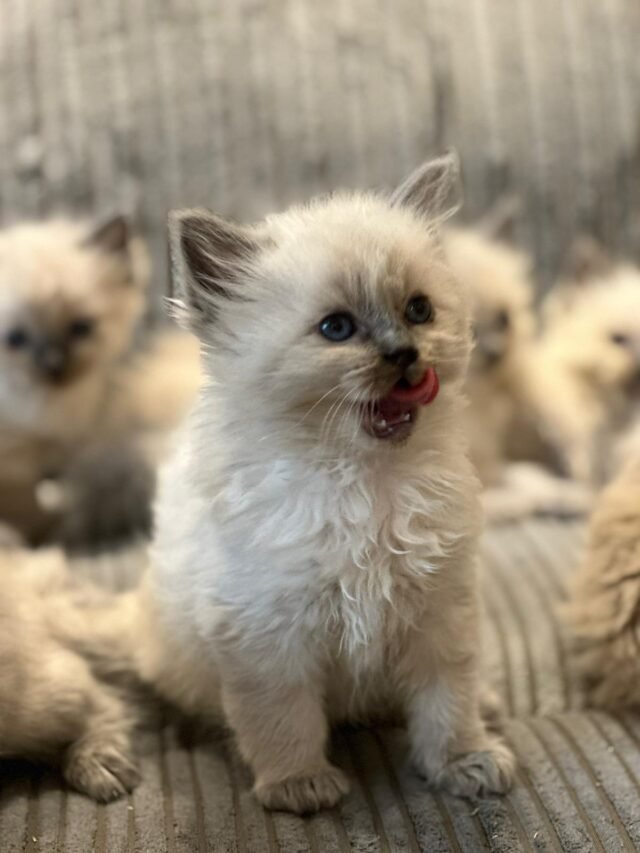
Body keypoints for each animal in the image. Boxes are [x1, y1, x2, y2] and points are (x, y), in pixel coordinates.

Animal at [135, 154, 515, 815]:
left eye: (418, 310)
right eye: (337, 328)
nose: (404, 354)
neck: (363, 480)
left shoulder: (440, 615)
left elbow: (449, 704)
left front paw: (464, 761)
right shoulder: (268, 637)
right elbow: (282, 720)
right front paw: (299, 785)